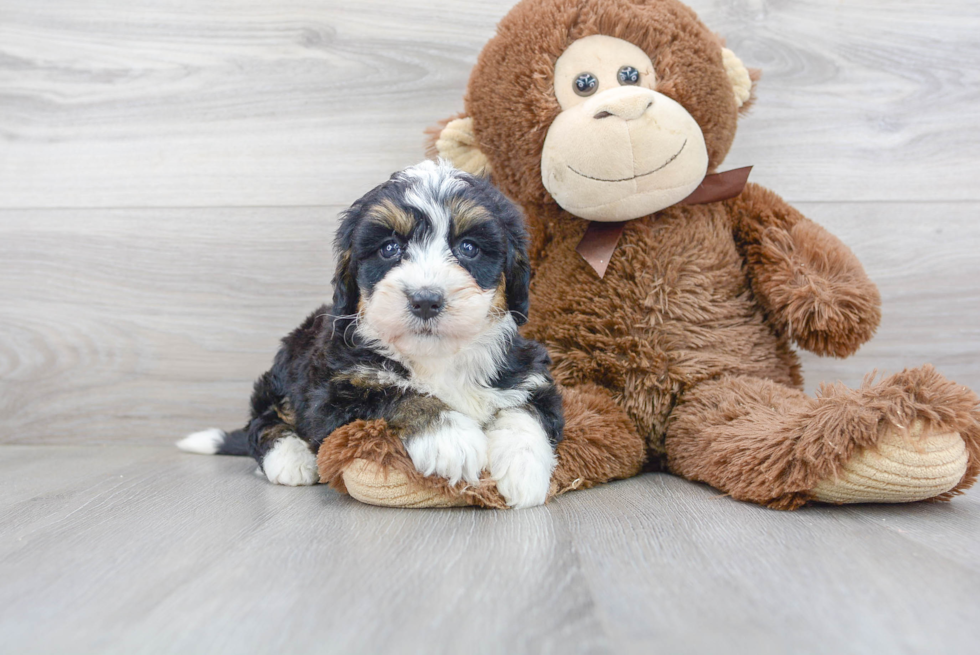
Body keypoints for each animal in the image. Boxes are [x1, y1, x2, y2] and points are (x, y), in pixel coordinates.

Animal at [179, 161, 564, 510]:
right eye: (389, 248)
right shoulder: (336, 391)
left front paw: (523, 469)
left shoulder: (527, 372)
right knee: (263, 421)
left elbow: (527, 409)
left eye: (468, 248)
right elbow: (395, 393)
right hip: (283, 371)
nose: (425, 300)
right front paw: (449, 438)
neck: (436, 358)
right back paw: (291, 459)